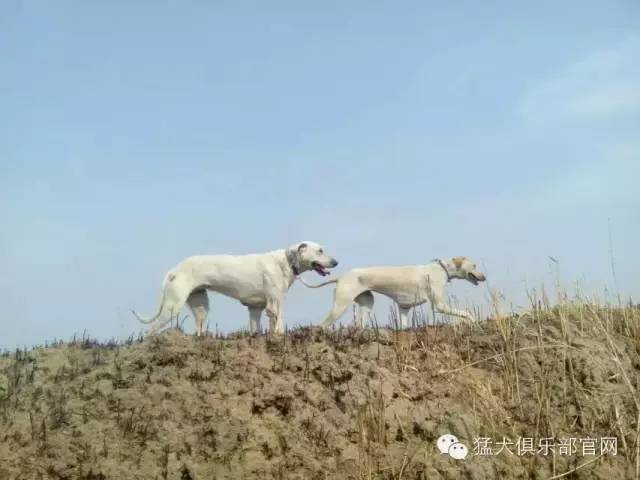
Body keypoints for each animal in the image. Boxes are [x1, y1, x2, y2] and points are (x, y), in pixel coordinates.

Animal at [132, 242, 338, 336]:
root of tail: (174, 269)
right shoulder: (275, 304)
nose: (336, 262)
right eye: (320, 250)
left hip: (201, 308)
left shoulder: (256, 309)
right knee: (150, 331)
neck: (286, 261)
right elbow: (279, 326)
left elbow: (257, 329)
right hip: (172, 306)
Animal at [298, 255, 484, 330]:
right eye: (475, 265)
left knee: (359, 324)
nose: (484, 277)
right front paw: (475, 321)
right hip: (340, 305)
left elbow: (404, 325)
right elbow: (466, 313)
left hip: (367, 303)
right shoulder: (440, 306)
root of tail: (341, 277)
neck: (442, 269)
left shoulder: (404, 308)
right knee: (322, 325)